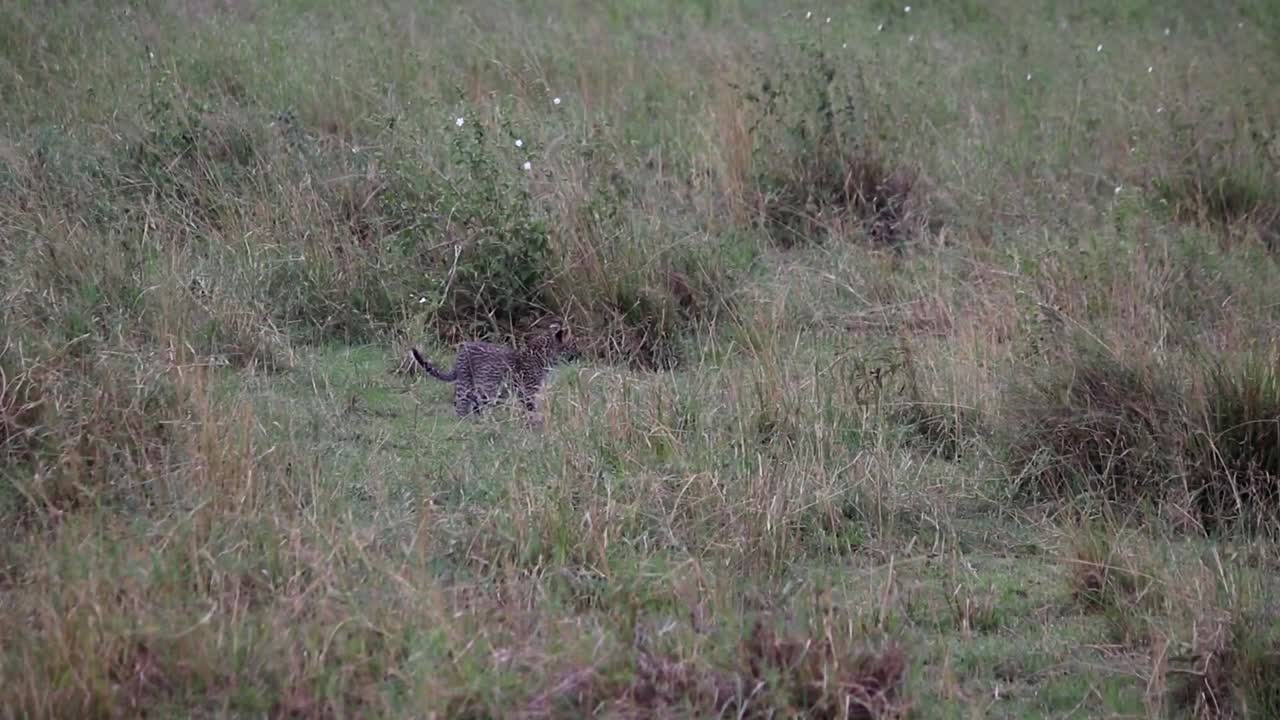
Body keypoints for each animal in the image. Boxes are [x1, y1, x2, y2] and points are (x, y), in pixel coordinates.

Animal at [409, 321, 579, 416]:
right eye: (572, 345)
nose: (578, 355)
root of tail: (462, 350)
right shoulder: (527, 392)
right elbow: (531, 410)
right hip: (469, 385)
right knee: (461, 406)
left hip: (479, 388)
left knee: (472, 404)